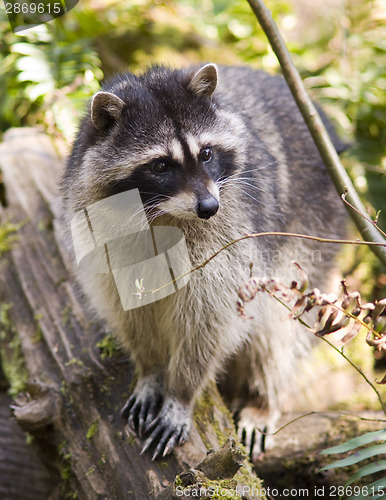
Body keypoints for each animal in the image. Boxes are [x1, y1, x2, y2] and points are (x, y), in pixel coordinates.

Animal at [61, 64, 346, 462]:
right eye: (160, 165)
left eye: (207, 153)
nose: (209, 207)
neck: (161, 214)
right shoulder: (99, 231)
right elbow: (129, 309)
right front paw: (150, 369)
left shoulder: (232, 232)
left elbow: (209, 319)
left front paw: (181, 393)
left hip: (312, 225)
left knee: (277, 328)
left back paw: (262, 399)